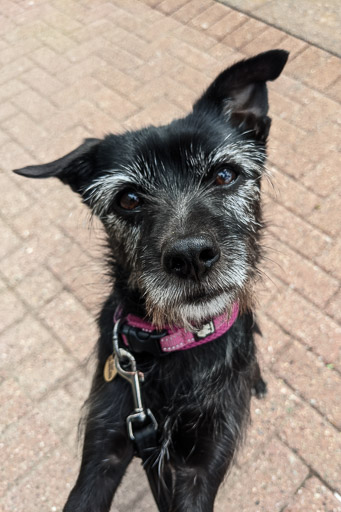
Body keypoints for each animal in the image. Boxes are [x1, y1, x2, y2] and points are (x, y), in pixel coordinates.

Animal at [14, 49, 288, 512]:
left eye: (224, 174)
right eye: (128, 199)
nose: (190, 257)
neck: (177, 345)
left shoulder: (202, 466)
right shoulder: (105, 445)